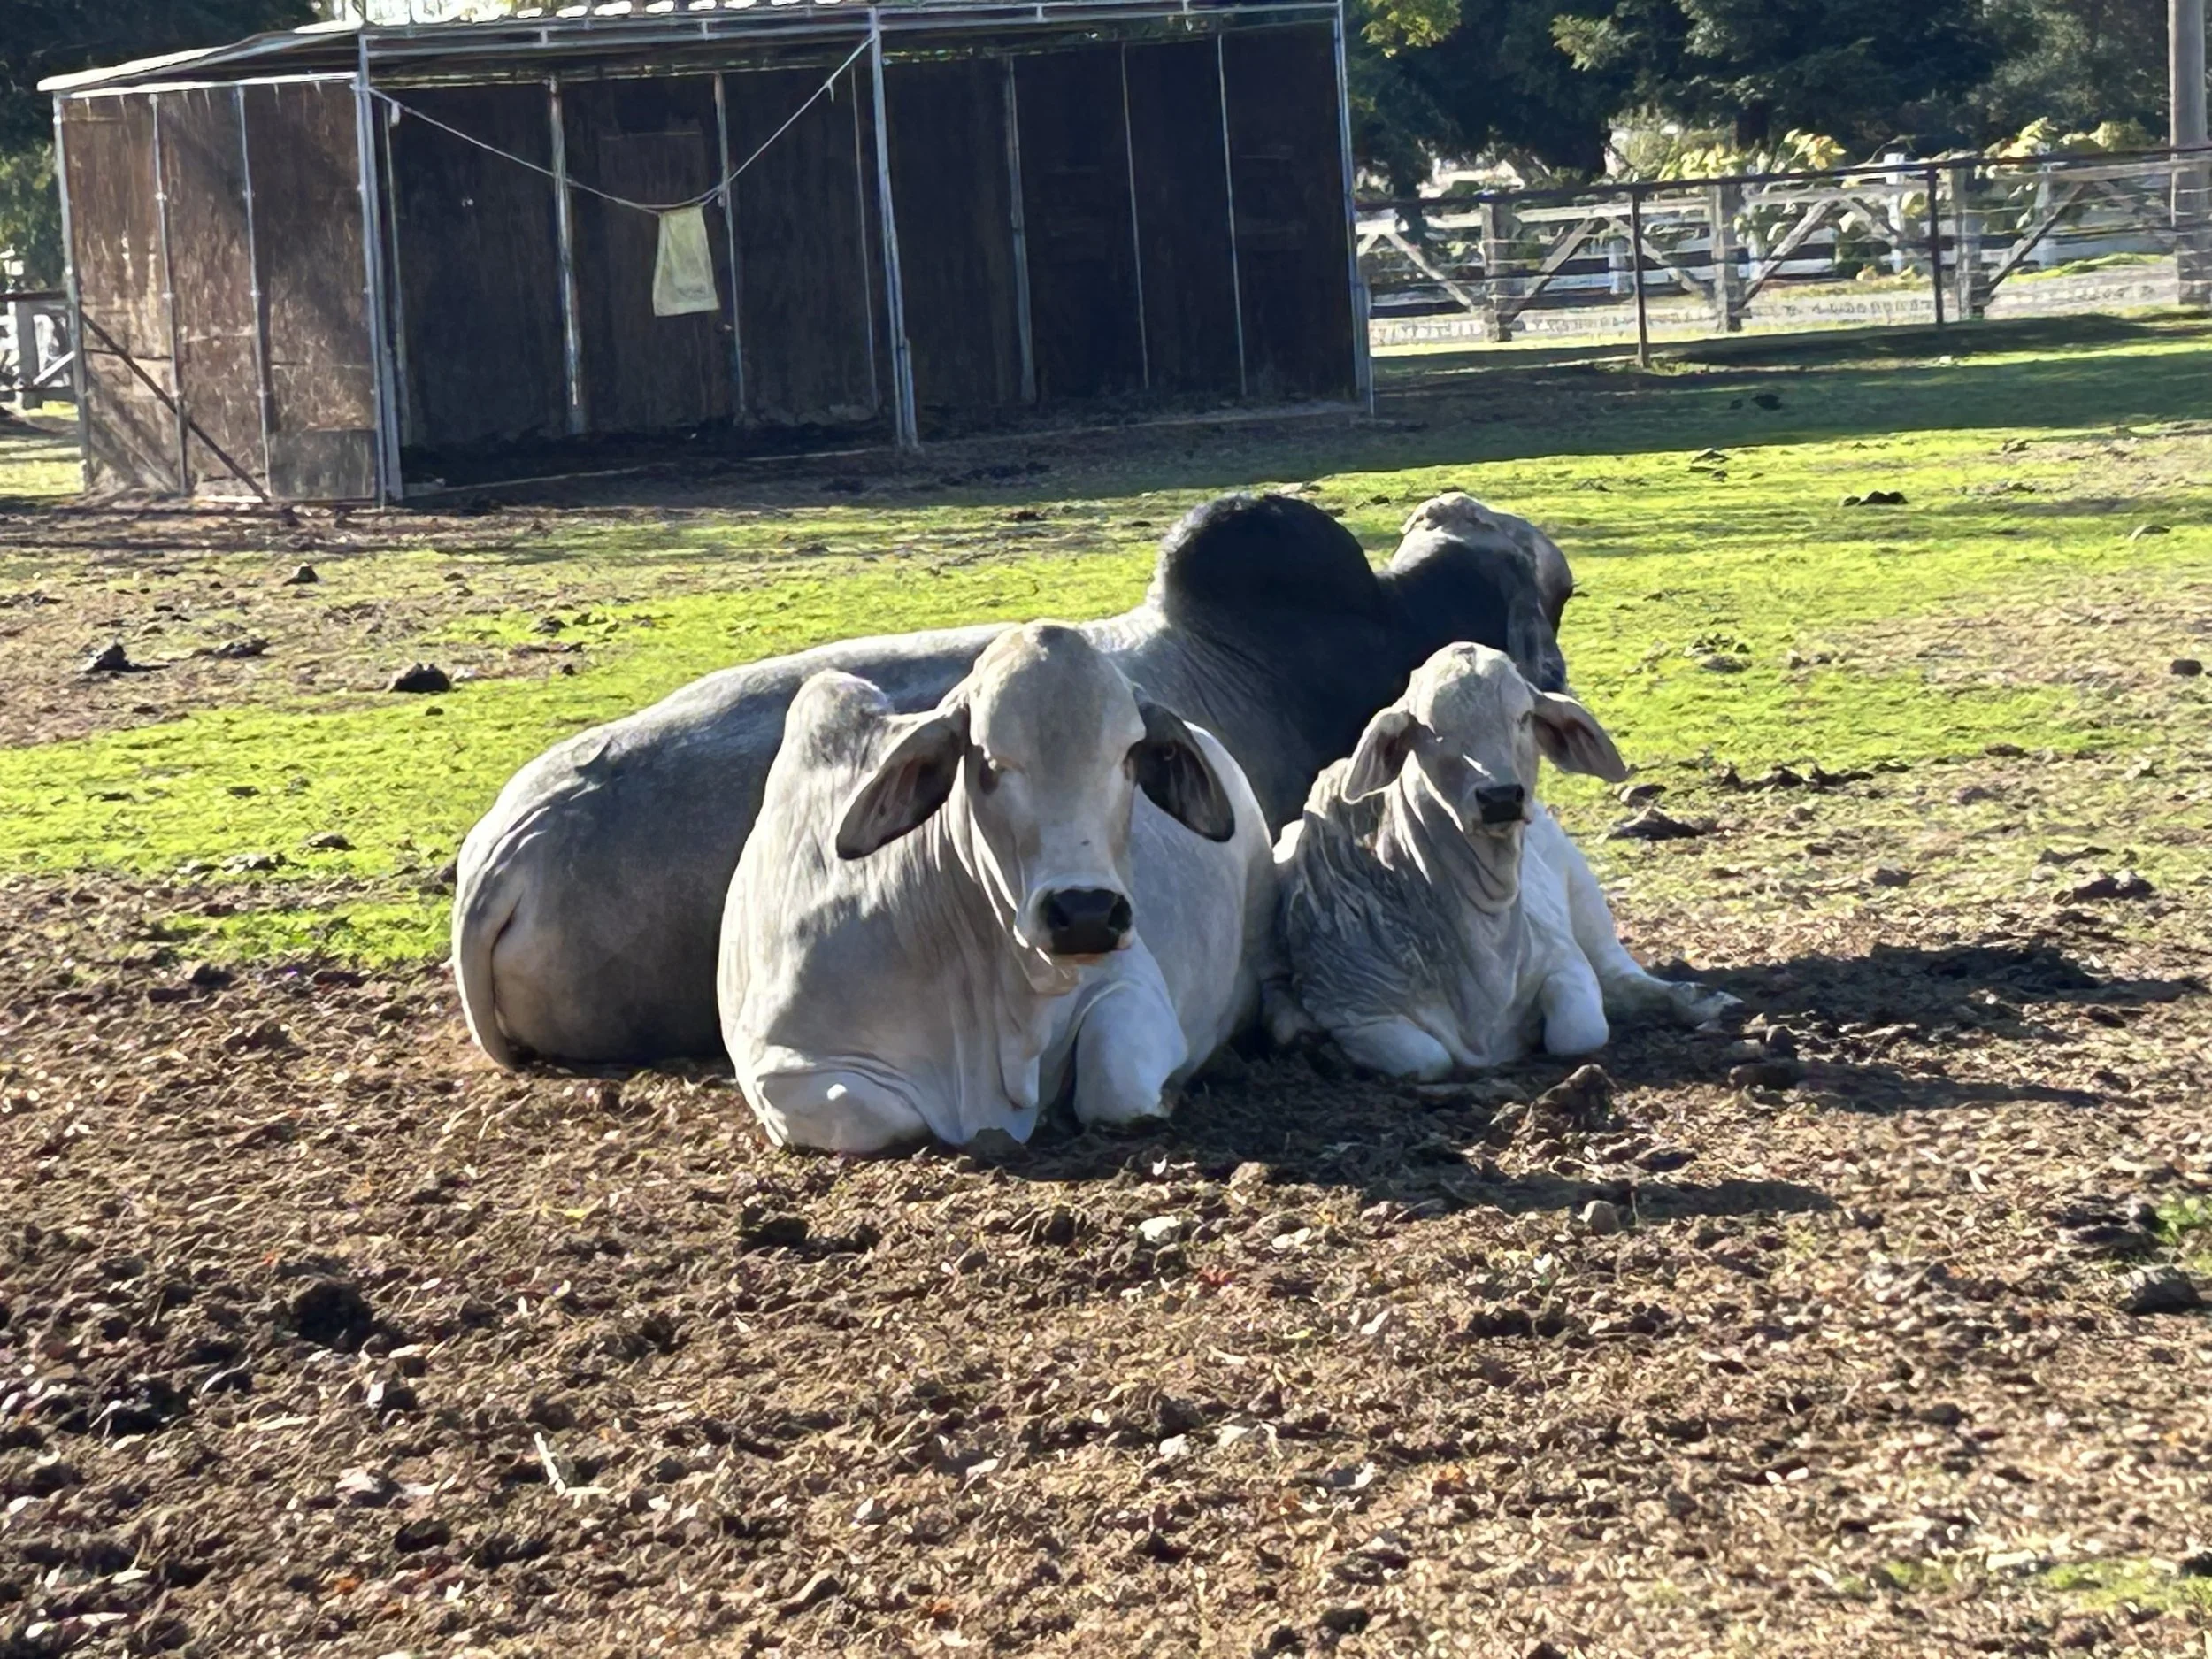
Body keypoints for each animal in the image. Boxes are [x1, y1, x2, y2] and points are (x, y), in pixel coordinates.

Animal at [718, 623, 1273, 1151]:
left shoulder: (1129, 980)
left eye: (1131, 754)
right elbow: (886, 1116)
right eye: (987, 762)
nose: (1086, 913)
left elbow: (1118, 1089)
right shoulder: (778, 1067)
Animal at [1271, 642, 1737, 1080]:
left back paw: (1697, 998)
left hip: (1586, 897)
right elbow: (1430, 1060)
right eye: (1432, 730)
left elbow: (1578, 1033)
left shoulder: (1564, 958)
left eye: (1524, 717)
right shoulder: (1353, 1010)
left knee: (1619, 972)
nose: (1500, 798)